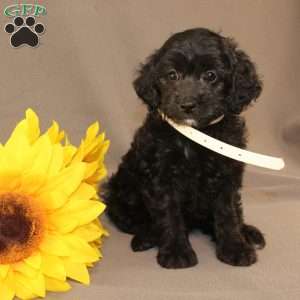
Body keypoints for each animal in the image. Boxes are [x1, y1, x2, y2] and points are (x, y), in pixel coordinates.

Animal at [104, 27, 266, 268]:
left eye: (211, 75)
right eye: (172, 75)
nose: (188, 105)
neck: (196, 136)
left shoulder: (226, 175)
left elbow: (228, 213)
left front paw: (235, 247)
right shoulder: (161, 176)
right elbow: (169, 213)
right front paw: (176, 252)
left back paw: (247, 233)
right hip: (121, 191)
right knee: (134, 220)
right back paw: (146, 238)